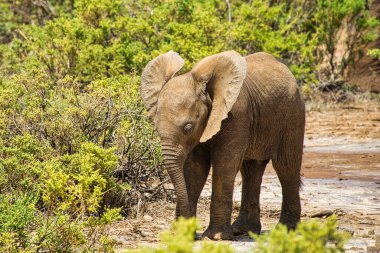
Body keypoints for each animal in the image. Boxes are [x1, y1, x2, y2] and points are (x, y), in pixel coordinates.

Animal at [140, 50, 306, 240]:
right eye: (155, 127)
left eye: (188, 127)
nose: (190, 231)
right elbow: (195, 169)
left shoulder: (236, 114)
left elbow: (224, 164)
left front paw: (216, 237)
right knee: (251, 169)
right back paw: (243, 230)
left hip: (293, 113)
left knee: (286, 166)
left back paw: (286, 229)